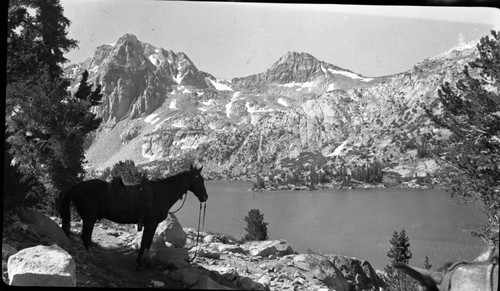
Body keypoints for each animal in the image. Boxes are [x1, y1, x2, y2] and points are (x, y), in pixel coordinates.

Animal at [59, 165, 208, 270]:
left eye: (203, 179)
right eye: (199, 179)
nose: (205, 197)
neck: (161, 194)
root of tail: (76, 187)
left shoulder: (151, 224)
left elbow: (147, 243)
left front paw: (144, 262)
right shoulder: (151, 223)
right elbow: (145, 242)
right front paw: (141, 263)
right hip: (89, 218)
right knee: (85, 236)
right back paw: (93, 257)